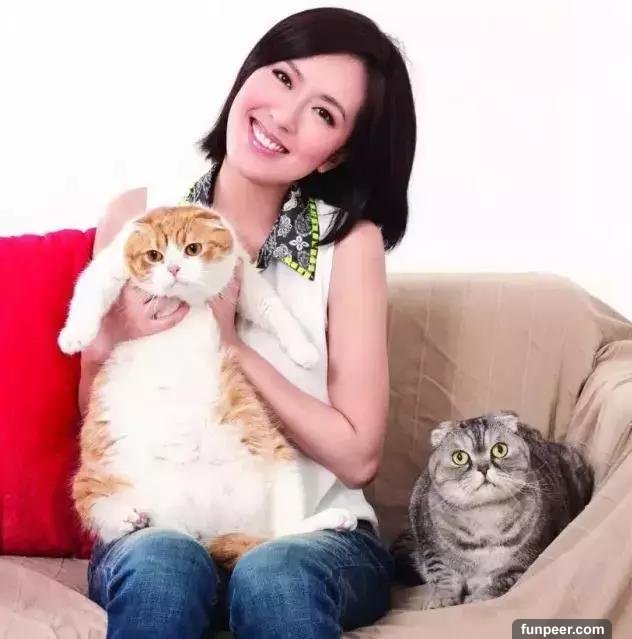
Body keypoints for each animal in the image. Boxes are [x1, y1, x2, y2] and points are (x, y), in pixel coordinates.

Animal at [59, 203, 357, 567]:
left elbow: (273, 310)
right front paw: (74, 336)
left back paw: (333, 519)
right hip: (92, 478)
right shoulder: (107, 268)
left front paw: (304, 351)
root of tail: (204, 530)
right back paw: (128, 516)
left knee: (282, 533)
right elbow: (89, 294)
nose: (173, 269)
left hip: (280, 459)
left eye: (192, 249)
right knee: (101, 512)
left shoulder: (245, 281)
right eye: (154, 255)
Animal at [390, 411, 593, 608]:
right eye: (459, 457)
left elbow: (499, 581)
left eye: (499, 449)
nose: (483, 467)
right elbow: (443, 577)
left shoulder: (523, 559)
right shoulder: (432, 550)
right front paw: (441, 599)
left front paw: (478, 598)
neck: (485, 516)